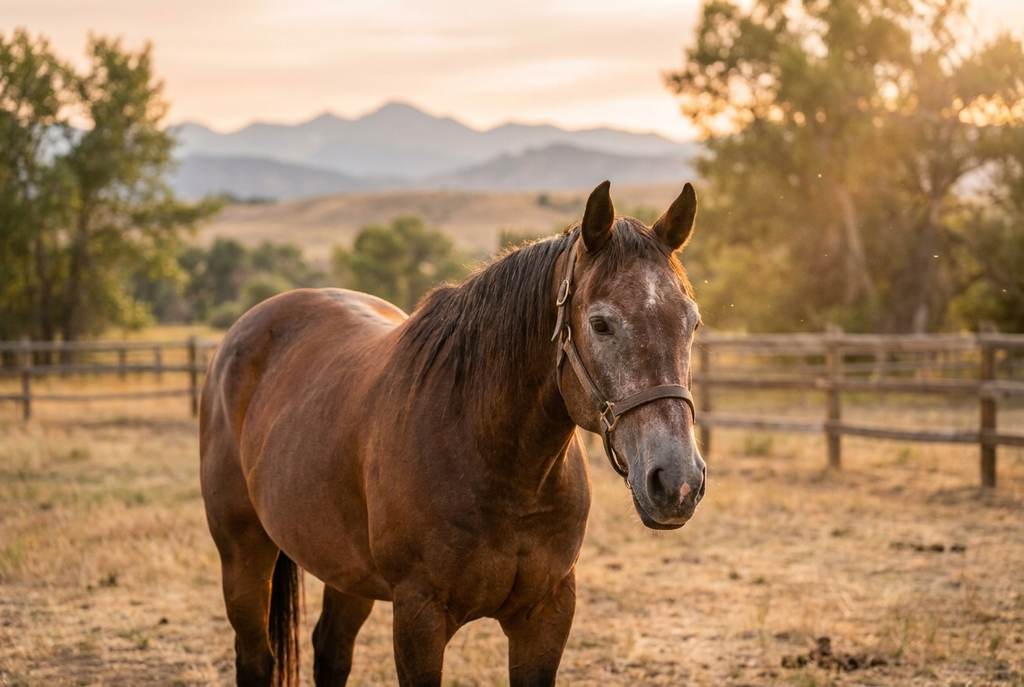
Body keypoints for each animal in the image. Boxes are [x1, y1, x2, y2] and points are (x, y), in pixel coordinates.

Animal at [199, 180, 706, 687]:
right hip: (243, 557)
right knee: (256, 657)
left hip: (344, 569)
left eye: (692, 322)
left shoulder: (547, 614)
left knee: (331, 651)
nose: (677, 482)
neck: (496, 464)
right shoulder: (418, 616)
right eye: (600, 324)